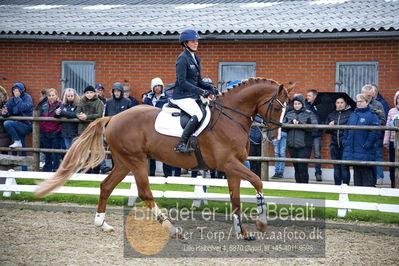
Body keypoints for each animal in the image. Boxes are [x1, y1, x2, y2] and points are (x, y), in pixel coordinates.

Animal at [36, 78, 292, 240]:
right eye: (276, 107)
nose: (275, 136)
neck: (230, 118)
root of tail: (114, 116)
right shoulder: (228, 164)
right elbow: (257, 182)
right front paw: (261, 222)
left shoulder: (232, 168)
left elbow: (236, 198)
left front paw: (242, 232)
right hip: (137, 161)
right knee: (145, 193)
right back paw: (171, 228)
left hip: (124, 162)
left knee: (106, 186)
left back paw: (102, 224)